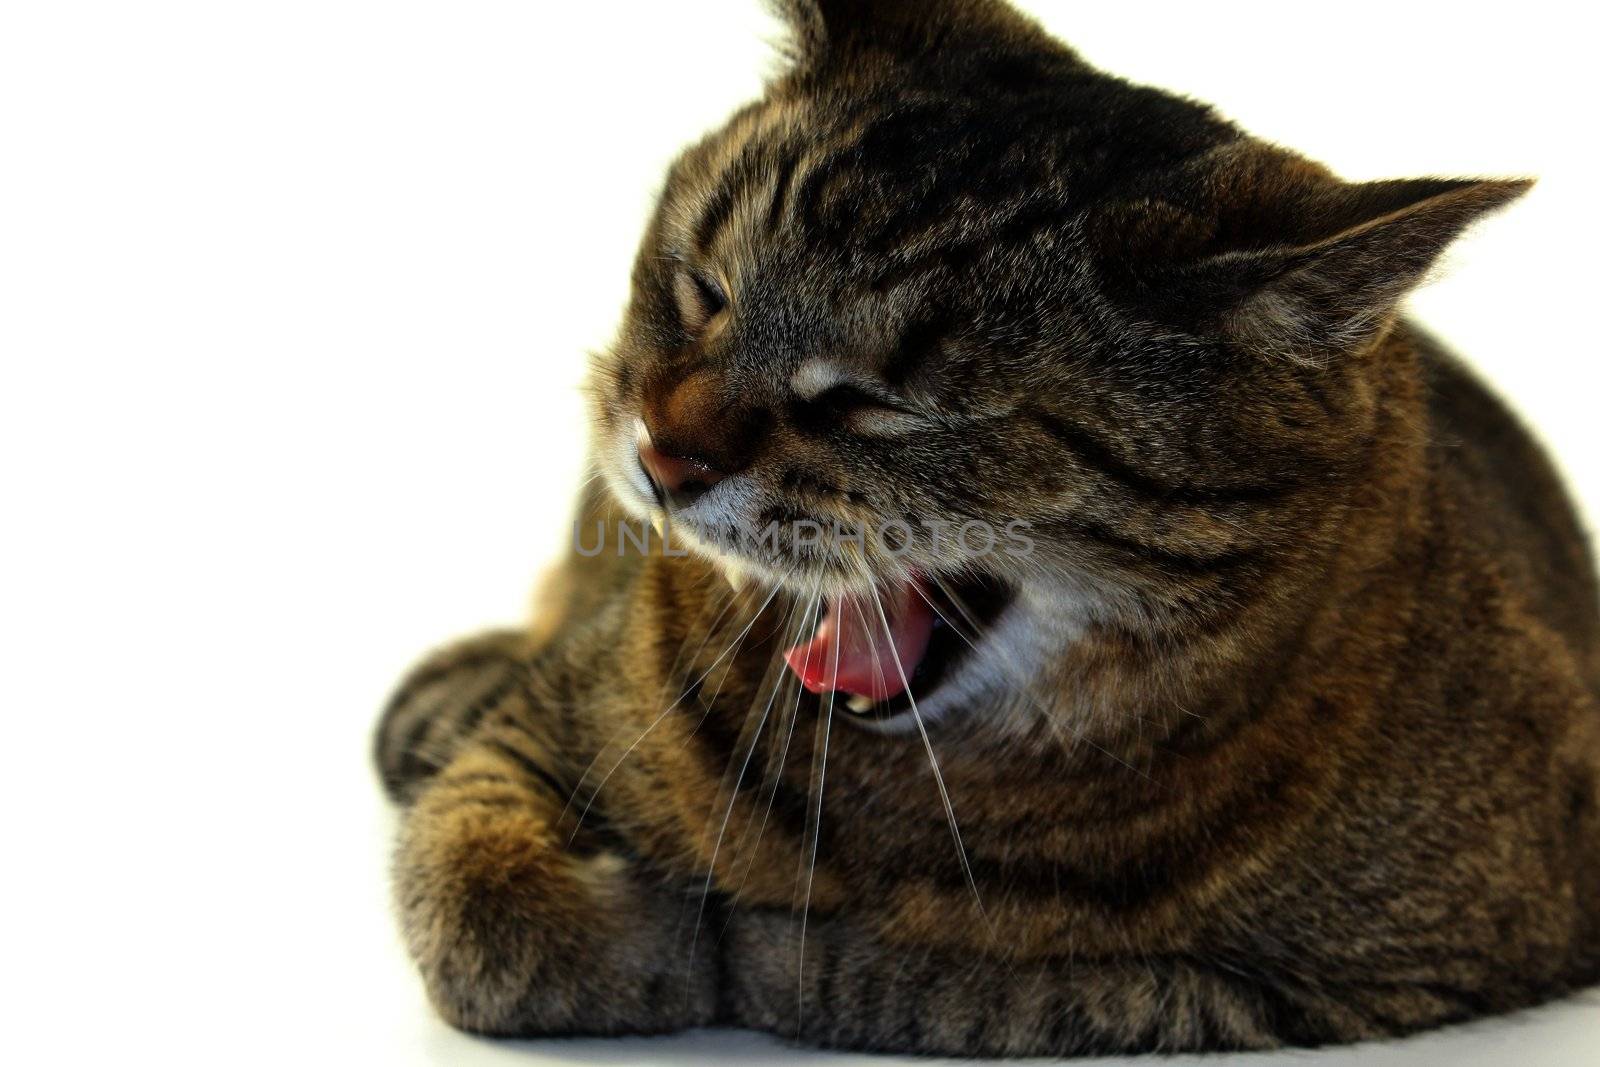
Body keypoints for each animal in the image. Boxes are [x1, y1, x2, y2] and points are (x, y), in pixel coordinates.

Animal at [377, 0, 1600, 1049]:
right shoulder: (547, 723)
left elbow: (970, 986)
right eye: (703, 290)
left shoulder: (1376, 979)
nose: (662, 455)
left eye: (877, 400)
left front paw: (741, 943)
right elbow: (477, 894)